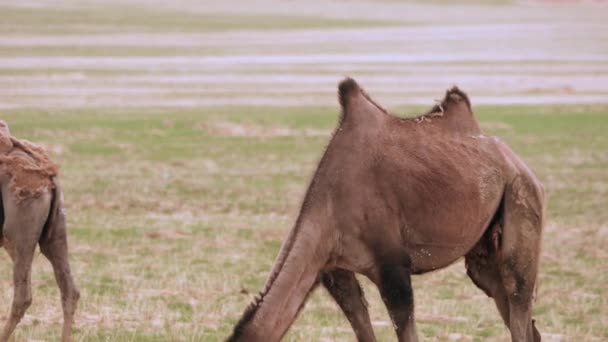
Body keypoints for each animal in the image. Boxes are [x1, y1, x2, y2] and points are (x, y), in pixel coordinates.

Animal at [228, 79, 548, 342]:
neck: (327, 205)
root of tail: (516, 161)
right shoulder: (335, 268)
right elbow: (360, 321)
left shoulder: (392, 266)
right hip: (484, 249)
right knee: (515, 310)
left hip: (521, 196)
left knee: (517, 289)